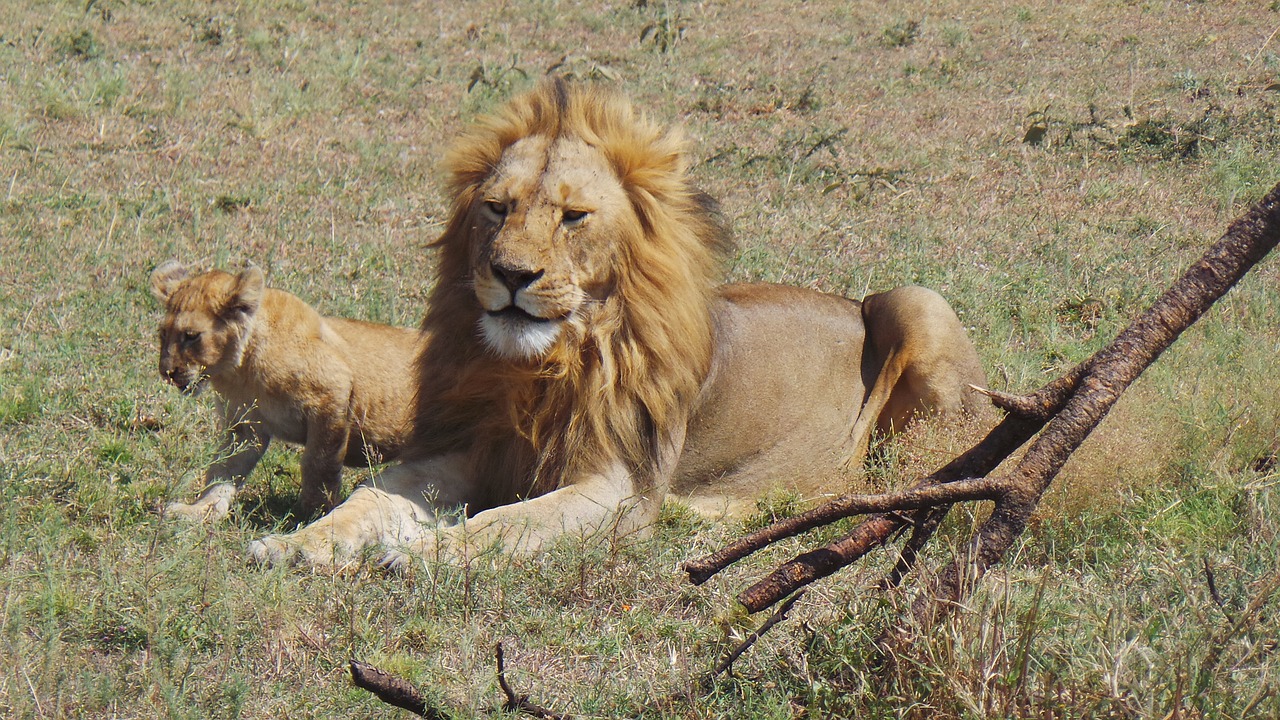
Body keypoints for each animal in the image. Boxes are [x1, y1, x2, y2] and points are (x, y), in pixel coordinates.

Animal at [149, 260, 419, 517]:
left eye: (191, 336)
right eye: (163, 334)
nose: (166, 372)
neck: (239, 370)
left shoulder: (334, 390)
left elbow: (318, 462)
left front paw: (313, 512)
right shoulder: (245, 426)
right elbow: (223, 470)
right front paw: (200, 510)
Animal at [247, 81, 988, 566]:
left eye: (573, 217)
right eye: (497, 208)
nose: (511, 274)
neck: (540, 366)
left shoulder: (617, 486)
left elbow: (506, 523)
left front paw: (426, 552)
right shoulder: (465, 448)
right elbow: (368, 497)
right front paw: (297, 544)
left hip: (917, 301)